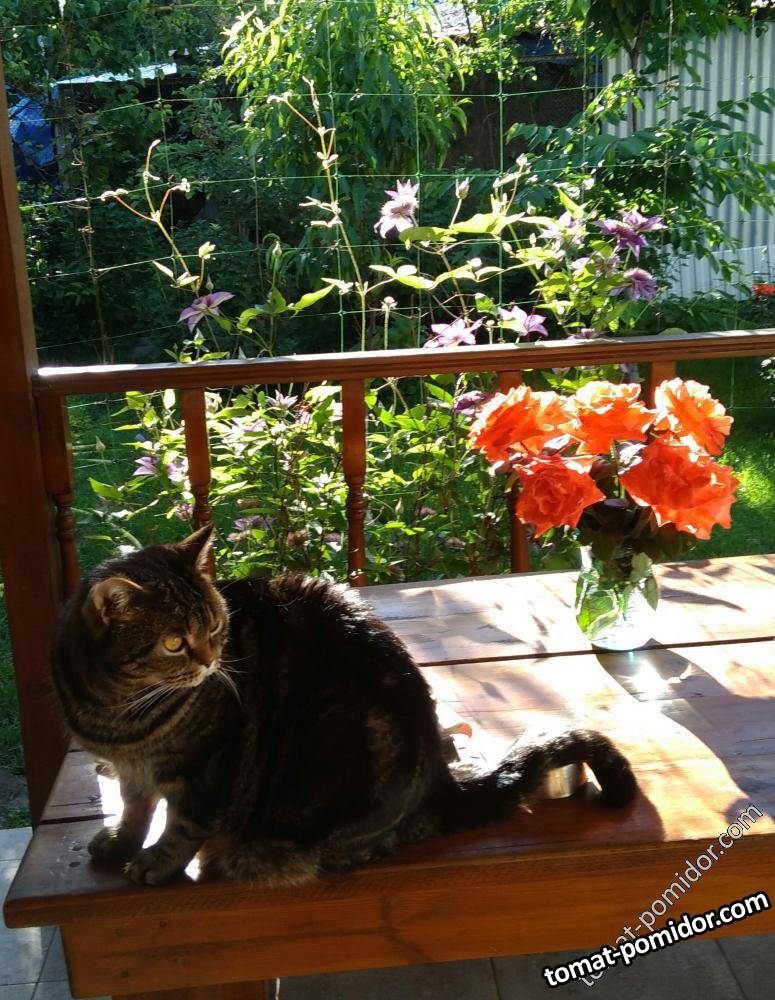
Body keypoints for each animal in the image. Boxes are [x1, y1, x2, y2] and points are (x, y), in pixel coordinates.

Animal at [52, 524, 637, 886]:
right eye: (175, 641)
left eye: (216, 627)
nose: (213, 660)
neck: (119, 714)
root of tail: (440, 782)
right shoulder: (132, 771)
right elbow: (135, 808)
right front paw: (123, 842)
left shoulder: (208, 770)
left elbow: (182, 824)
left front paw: (157, 861)